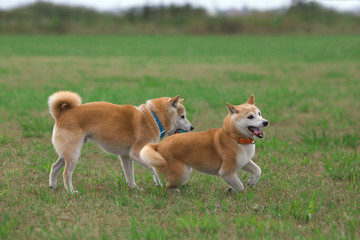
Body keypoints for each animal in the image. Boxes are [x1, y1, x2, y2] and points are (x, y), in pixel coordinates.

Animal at [48, 91, 194, 192]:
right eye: (182, 116)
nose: (192, 128)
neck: (153, 117)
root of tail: (62, 114)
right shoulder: (136, 153)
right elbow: (154, 168)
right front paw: (162, 183)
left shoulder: (126, 156)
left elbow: (130, 174)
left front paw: (134, 188)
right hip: (74, 153)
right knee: (66, 173)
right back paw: (71, 191)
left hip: (67, 152)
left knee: (55, 166)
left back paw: (53, 186)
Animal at [140, 94, 268, 193]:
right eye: (250, 117)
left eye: (259, 113)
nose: (266, 122)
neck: (235, 137)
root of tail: (158, 145)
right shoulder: (226, 171)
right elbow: (240, 187)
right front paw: (235, 190)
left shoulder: (244, 161)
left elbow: (258, 170)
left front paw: (251, 182)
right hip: (182, 174)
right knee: (166, 187)